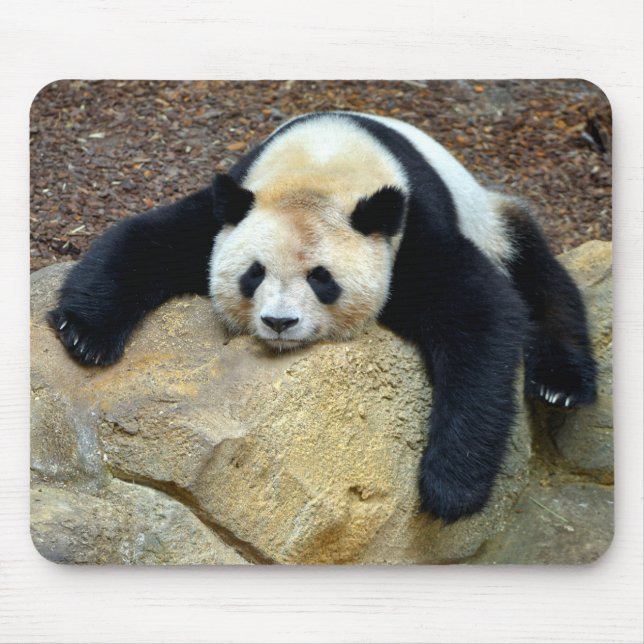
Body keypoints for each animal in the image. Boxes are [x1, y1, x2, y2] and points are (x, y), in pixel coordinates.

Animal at [48, 111, 597, 522]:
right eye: (253, 274)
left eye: (322, 278)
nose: (279, 323)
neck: (322, 163)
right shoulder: (233, 205)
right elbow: (148, 239)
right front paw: (83, 334)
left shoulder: (410, 232)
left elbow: (481, 314)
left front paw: (450, 488)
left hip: (491, 218)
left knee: (541, 280)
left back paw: (560, 385)